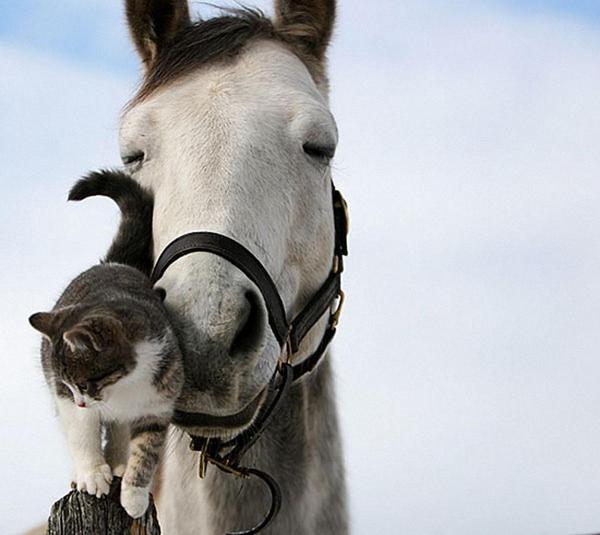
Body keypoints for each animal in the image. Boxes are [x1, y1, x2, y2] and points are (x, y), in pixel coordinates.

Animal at [28, 171, 183, 520]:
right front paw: (92, 475)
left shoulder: (159, 400)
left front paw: (134, 495)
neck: (124, 386)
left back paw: (119, 464)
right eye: (72, 384)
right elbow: (81, 433)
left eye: (87, 382)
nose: (83, 400)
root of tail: (113, 264)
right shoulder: (66, 397)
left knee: (119, 431)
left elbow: (146, 450)